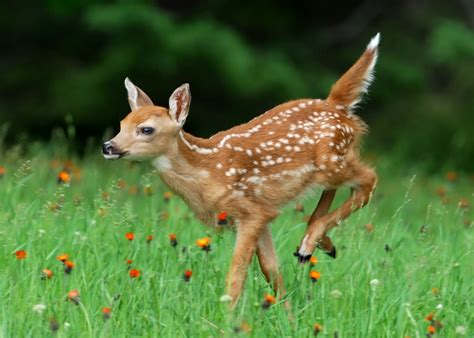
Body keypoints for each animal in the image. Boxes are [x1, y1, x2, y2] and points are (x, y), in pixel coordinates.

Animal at [103, 33, 382, 308]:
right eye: (122, 123)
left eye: (146, 129)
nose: (108, 146)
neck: (206, 171)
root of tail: (337, 106)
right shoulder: (262, 213)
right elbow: (272, 270)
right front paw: (287, 315)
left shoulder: (249, 211)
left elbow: (237, 273)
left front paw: (227, 315)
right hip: (330, 165)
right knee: (338, 188)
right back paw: (320, 244)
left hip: (333, 162)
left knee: (369, 179)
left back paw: (309, 243)